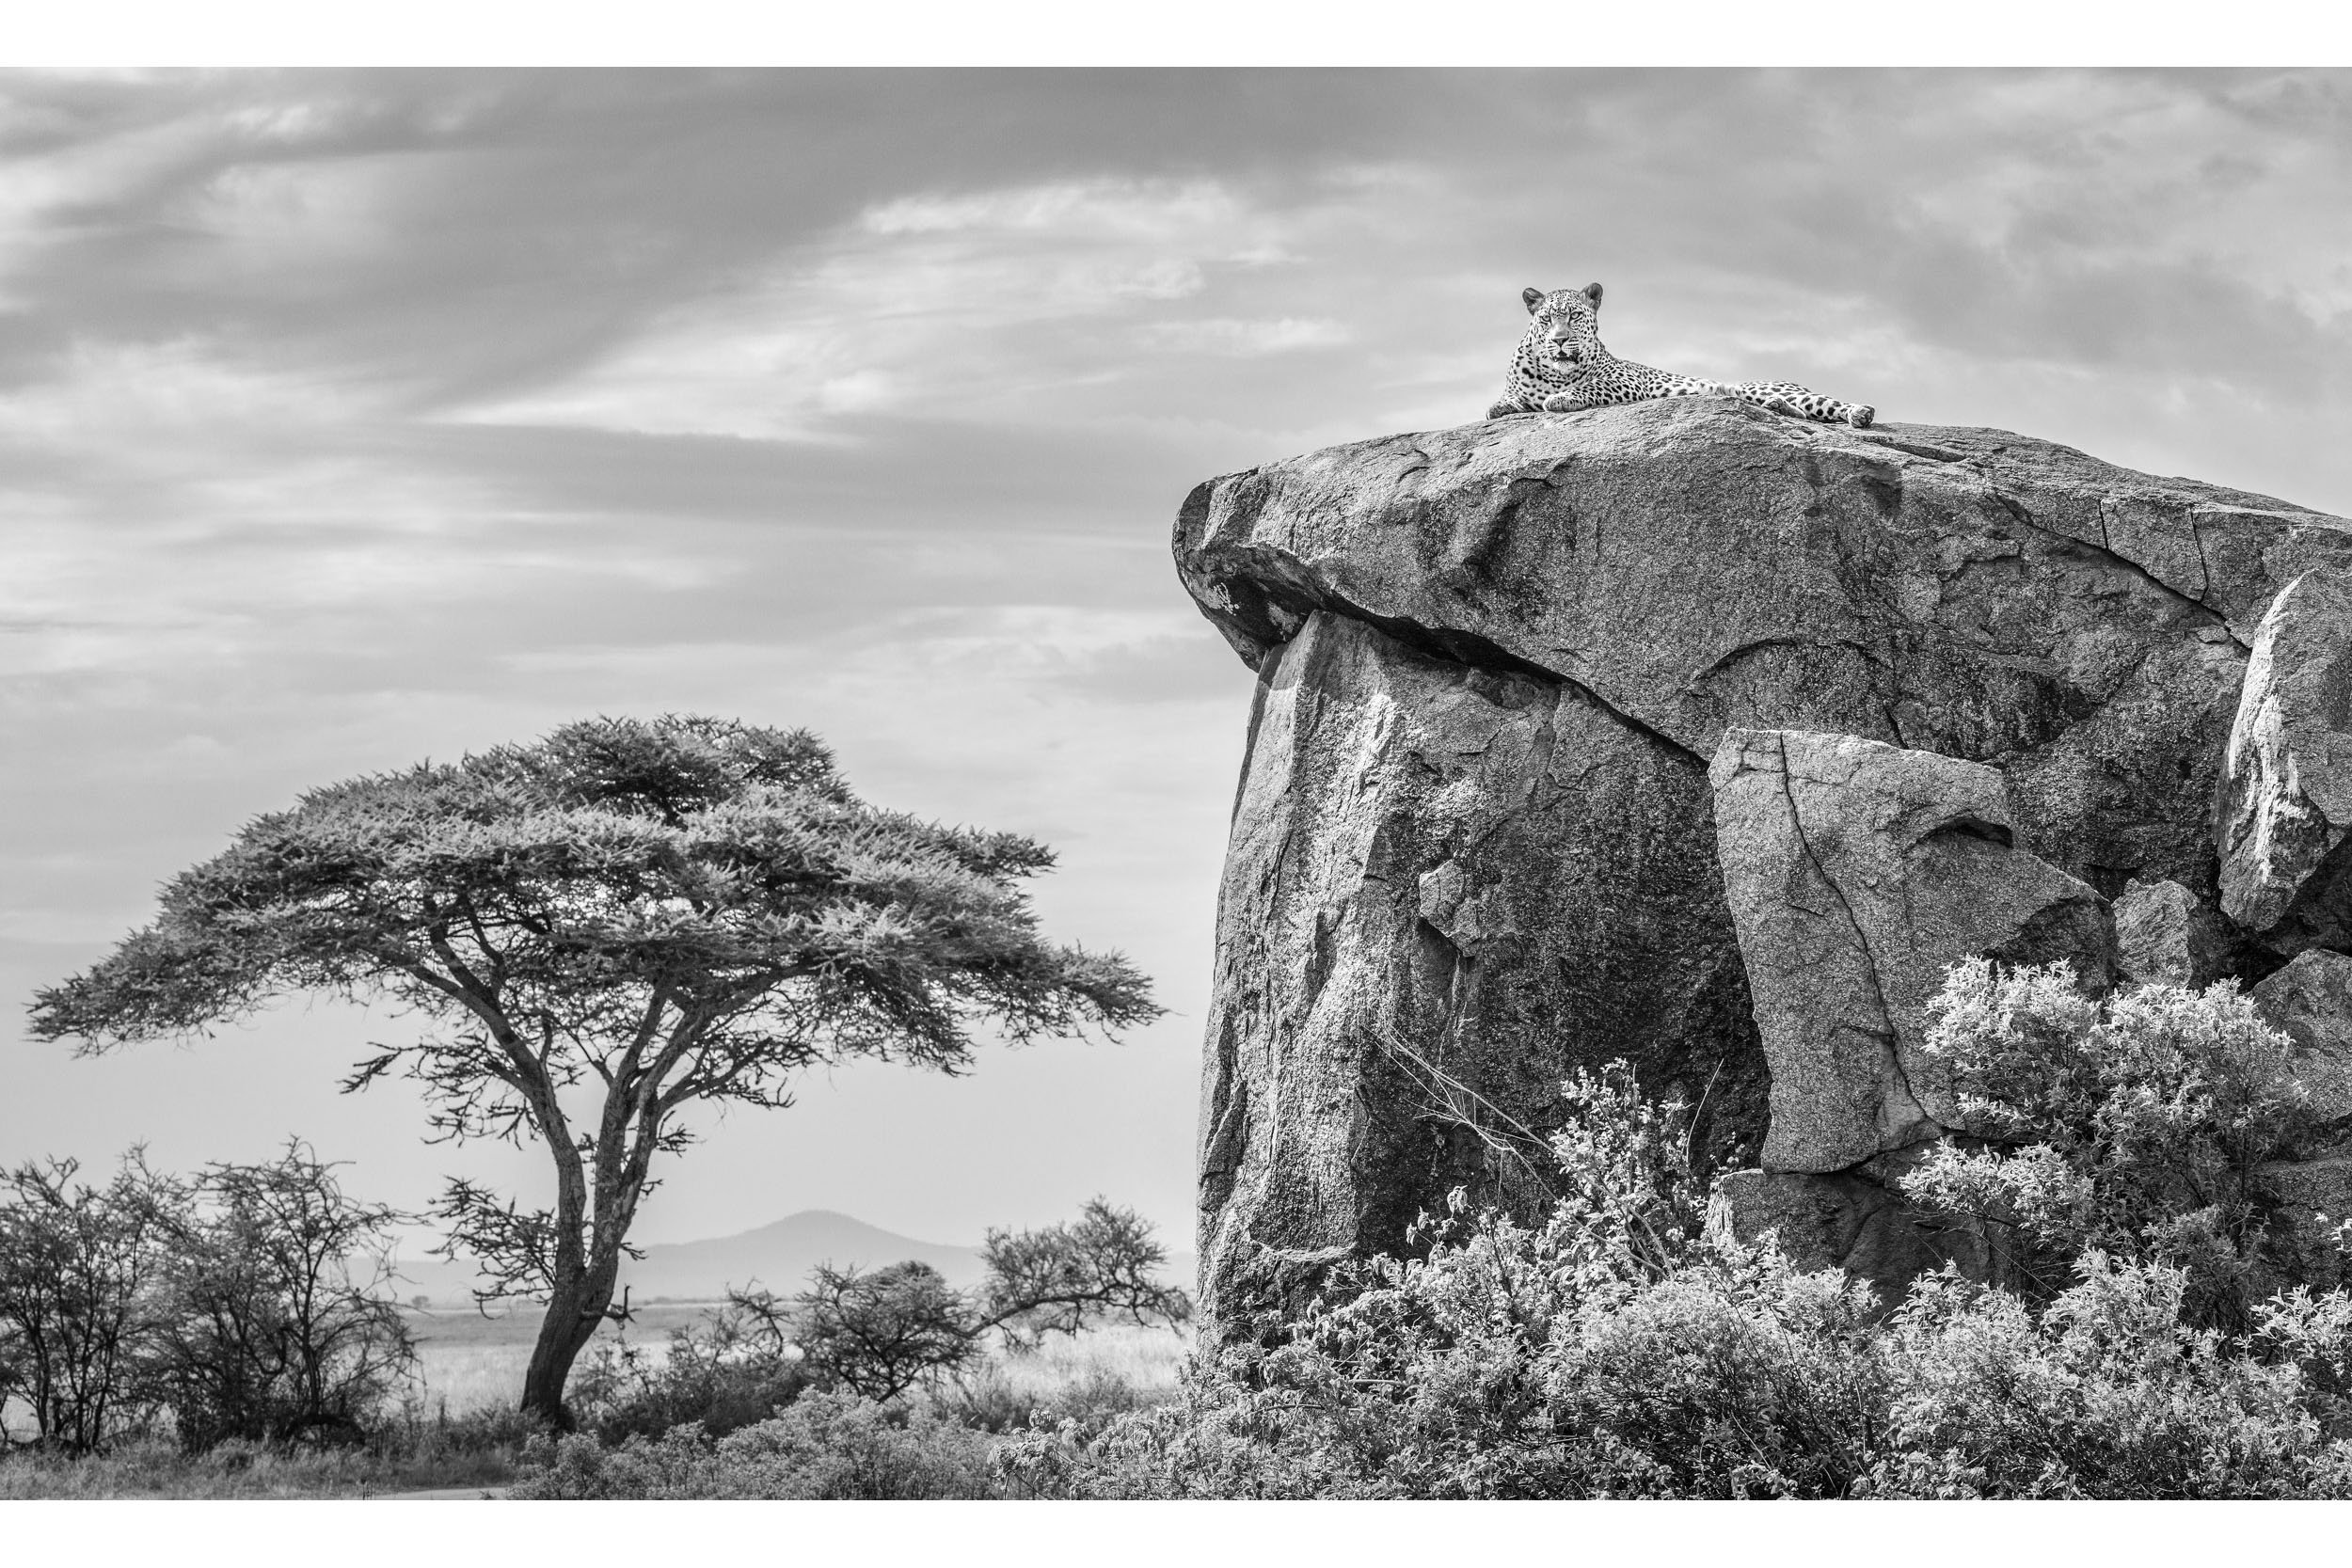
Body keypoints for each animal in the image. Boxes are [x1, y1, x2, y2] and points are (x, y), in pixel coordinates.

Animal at [1488, 282, 1874, 428]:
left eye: (1574, 317)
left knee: (1827, 405)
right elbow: (1505, 402)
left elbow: (1588, 387)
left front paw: (1561, 398)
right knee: (1806, 414)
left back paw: (1860, 412)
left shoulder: (1625, 379)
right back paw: (1777, 409)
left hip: (1770, 387)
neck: (1556, 372)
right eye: (1547, 319)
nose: (1559, 340)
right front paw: (1502, 406)